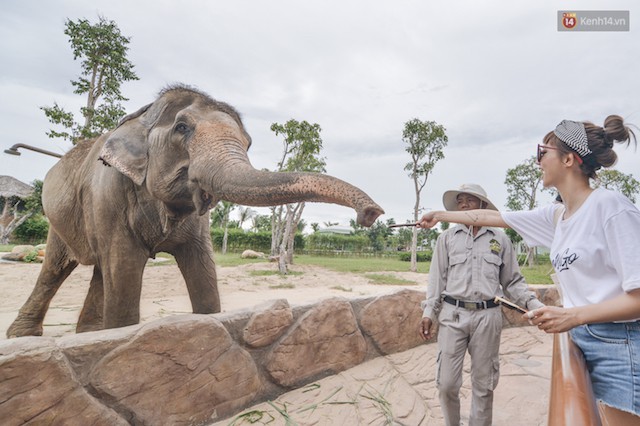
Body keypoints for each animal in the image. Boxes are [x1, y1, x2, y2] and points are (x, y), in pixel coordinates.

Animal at [5, 84, 382, 336]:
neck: (142, 116)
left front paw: (209, 321)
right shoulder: (108, 191)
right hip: (59, 219)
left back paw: (89, 334)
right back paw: (26, 335)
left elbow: (202, 269)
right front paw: (121, 333)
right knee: (56, 268)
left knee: (99, 269)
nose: (371, 214)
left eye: (248, 143)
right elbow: (124, 268)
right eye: (182, 128)